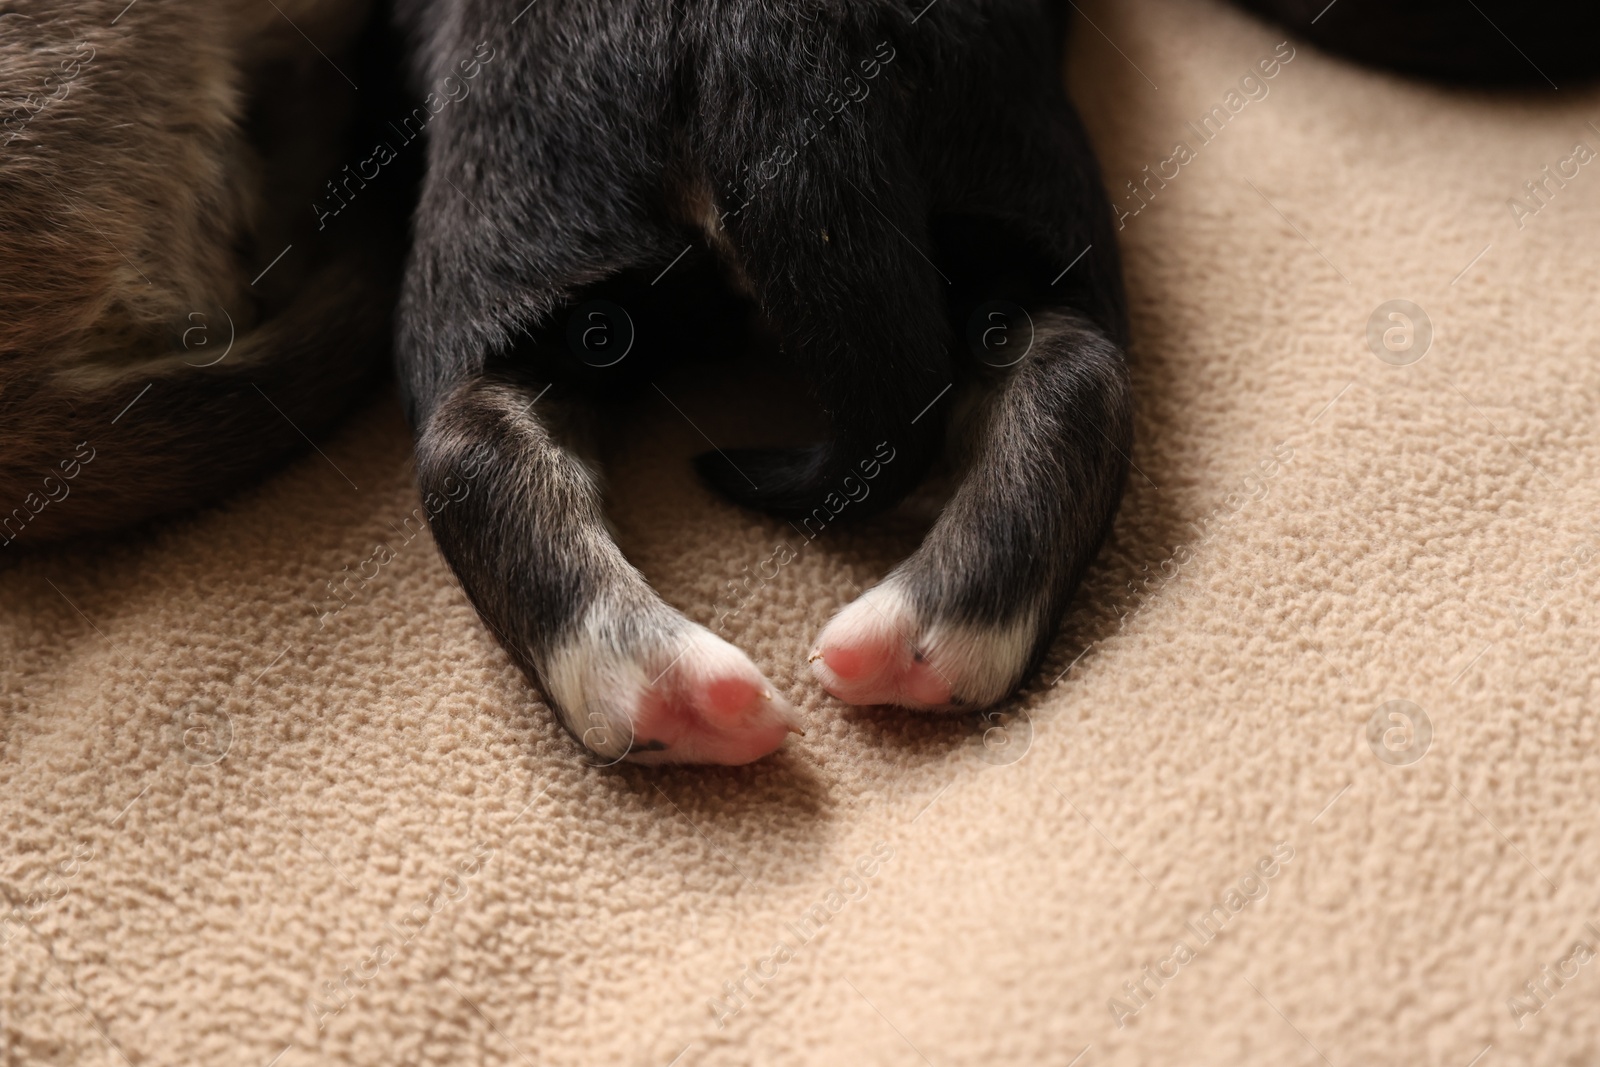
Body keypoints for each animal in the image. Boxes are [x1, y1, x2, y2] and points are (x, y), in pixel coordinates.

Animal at [393, 2, 1132, 767]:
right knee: (1074, 375)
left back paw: (680, 694)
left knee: (468, 442)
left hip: (502, 216)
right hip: (1022, 200)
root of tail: (759, 30)